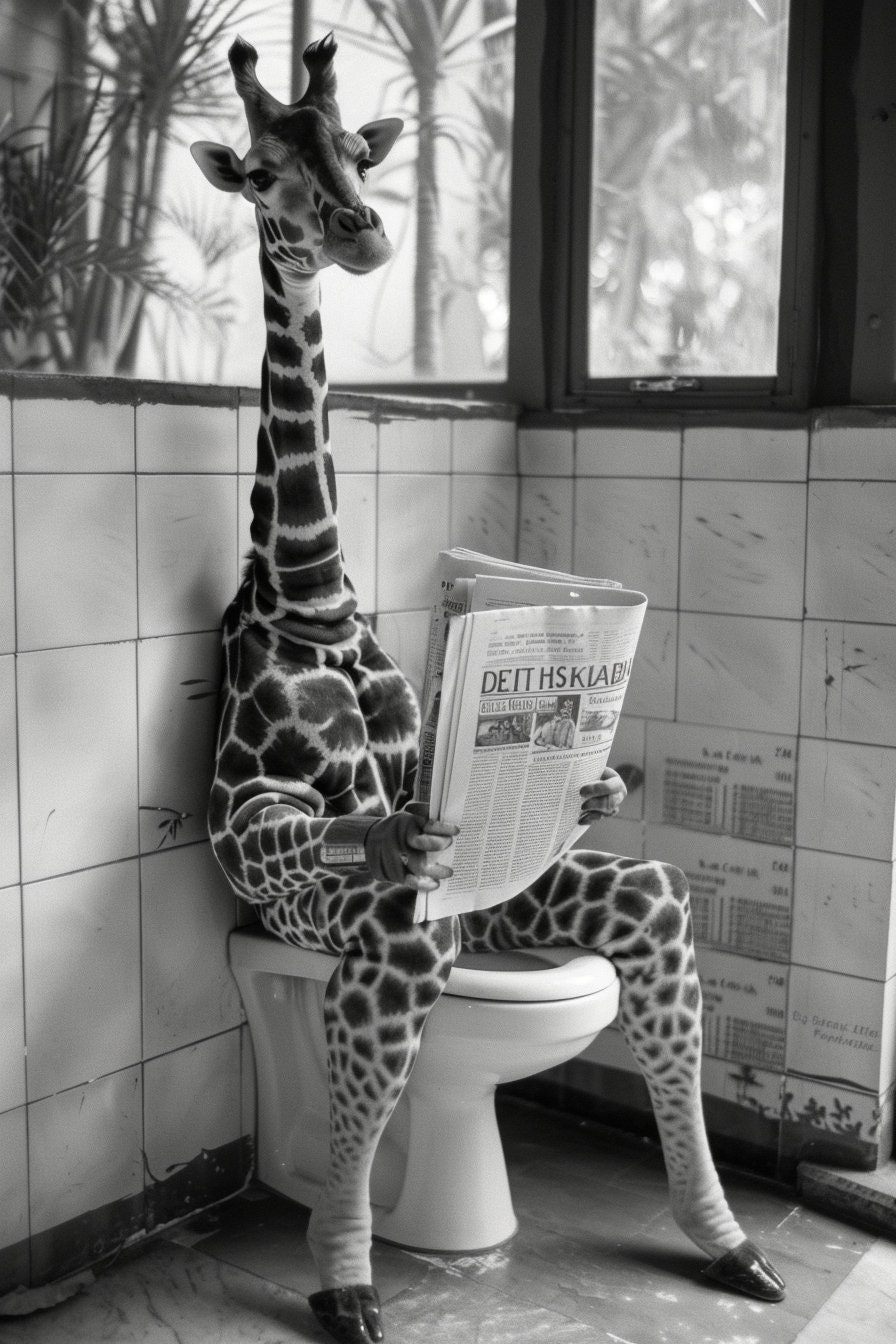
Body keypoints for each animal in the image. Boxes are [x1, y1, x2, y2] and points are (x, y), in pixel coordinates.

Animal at [192, 34, 785, 1344]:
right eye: (258, 170)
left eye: (357, 151)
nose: (360, 230)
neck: (307, 590)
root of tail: (476, 925)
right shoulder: (248, 825)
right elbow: (294, 826)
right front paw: (345, 1284)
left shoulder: (443, 769)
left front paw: (600, 779)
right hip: (391, 934)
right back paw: (346, 1277)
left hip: (529, 912)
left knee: (655, 904)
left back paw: (727, 1246)